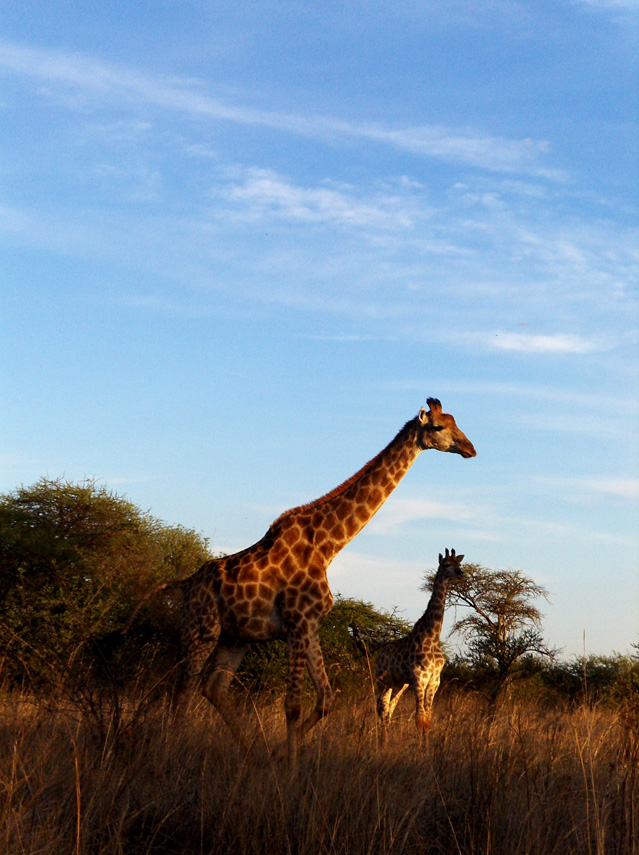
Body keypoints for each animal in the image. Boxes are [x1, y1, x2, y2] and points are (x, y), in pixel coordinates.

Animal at [376, 548, 464, 744]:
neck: (432, 637)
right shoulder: (419, 678)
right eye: (447, 564)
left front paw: (427, 746)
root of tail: (379, 654)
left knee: (389, 709)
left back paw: (386, 739)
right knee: (381, 708)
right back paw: (381, 742)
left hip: (399, 684)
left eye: (459, 563)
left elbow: (428, 718)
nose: (461, 573)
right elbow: (419, 718)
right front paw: (420, 749)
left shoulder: (434, 681)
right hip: (381, 681)